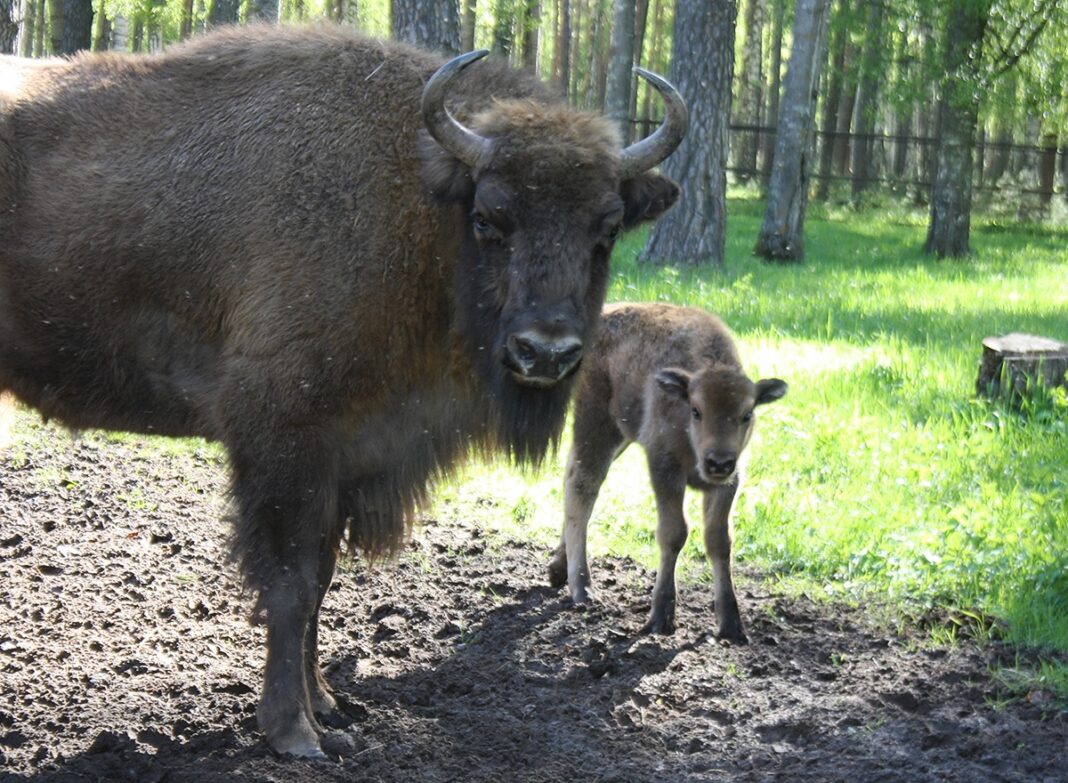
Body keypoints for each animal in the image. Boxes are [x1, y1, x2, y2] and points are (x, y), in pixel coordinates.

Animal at [0, 25, 687, 756]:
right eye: (487, 218)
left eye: (606, 229)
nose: (545, 351)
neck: (415, 199)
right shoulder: (284, 443)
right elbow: (291, 584)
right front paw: (294, 732)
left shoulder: (345, 455)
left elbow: (322, 580)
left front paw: (327, 705)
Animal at [551, 303, 786, 636]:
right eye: (696, 410)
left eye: (747, 414)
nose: (718, 462)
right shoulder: (664, 470)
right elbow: (674, 533)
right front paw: (661, 616)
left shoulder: (729, 482)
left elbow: (719, 540)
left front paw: (730, 623)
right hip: (596, 424)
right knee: (581, 490)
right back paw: (582, 588)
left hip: (620, 435)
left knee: (573, 479)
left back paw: (558, 569)